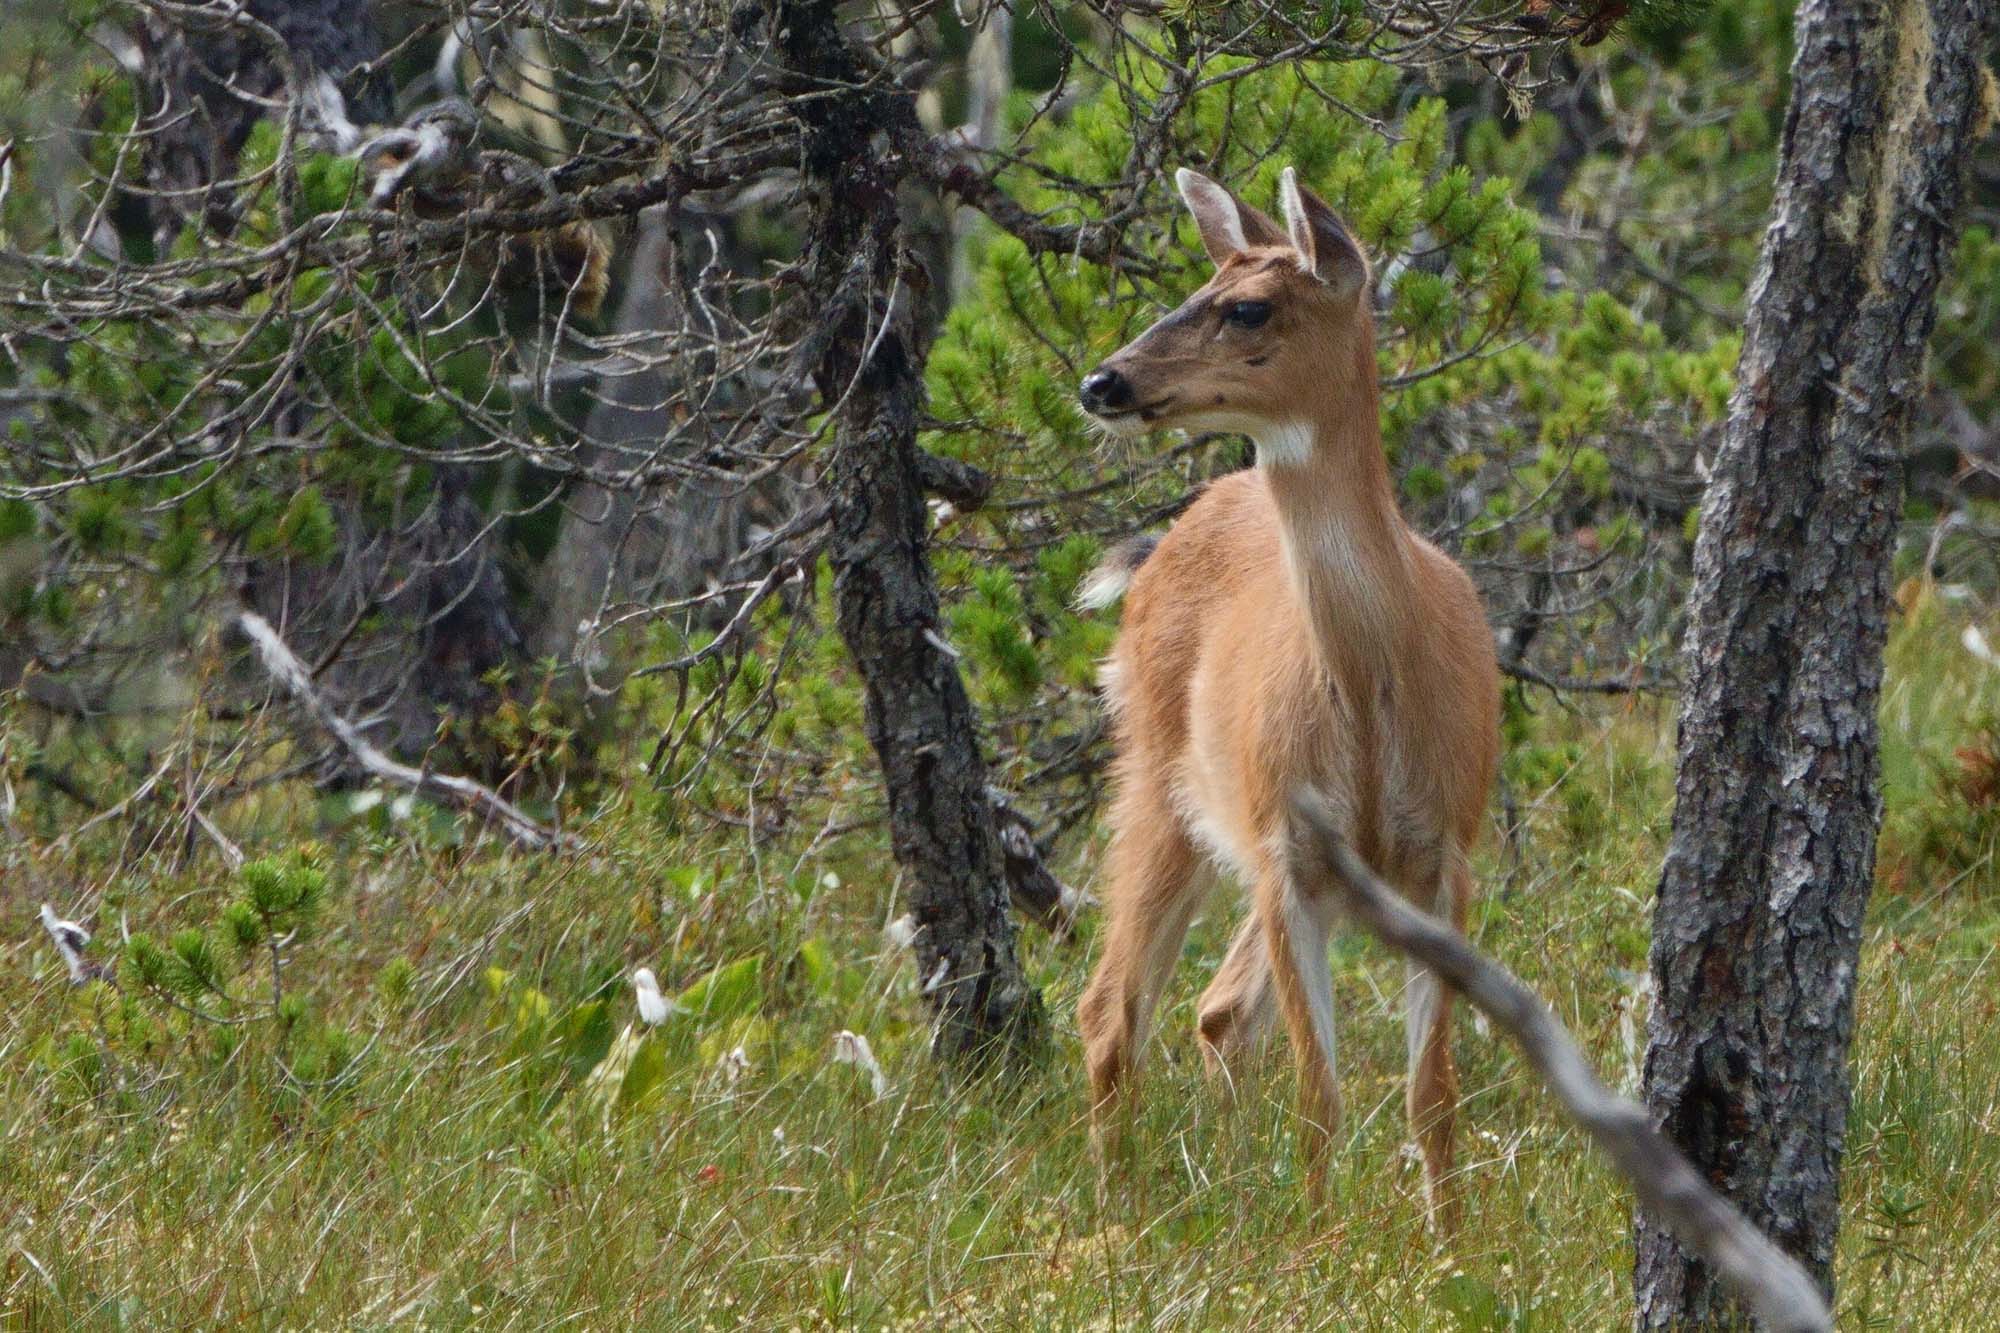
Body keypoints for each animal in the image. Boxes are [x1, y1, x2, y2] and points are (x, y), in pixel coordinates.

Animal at [1073, 166, 1499, 1226]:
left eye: (1247, 306)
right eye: (1201, 281)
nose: (1103, 382)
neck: (1377, 682)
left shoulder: (1446, 852)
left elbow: (1433, 1094)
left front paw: (1451, 1243)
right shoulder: (1283, 850)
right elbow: (1320, 1092)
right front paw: (1318, 1241)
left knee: (1215, 1010)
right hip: (1160, 778)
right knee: (1113, 1006)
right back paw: (1119, 1214)